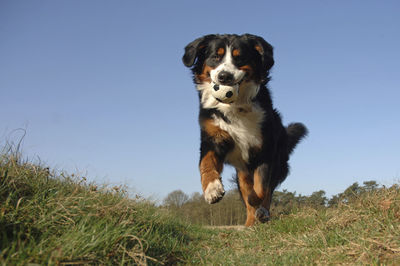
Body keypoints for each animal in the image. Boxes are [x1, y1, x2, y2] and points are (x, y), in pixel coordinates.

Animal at [183, 33, 308, 227]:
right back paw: (250, 223)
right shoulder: (213, 138)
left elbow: (261, 188)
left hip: (277, 162)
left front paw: (257, 202)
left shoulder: (265, 150)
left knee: (267, 192)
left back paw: (262, 213)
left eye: (239, 57)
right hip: (241, 169)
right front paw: (212, 189)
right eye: (215, 56)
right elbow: (206, 163)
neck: (235, 107)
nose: (224, 76)